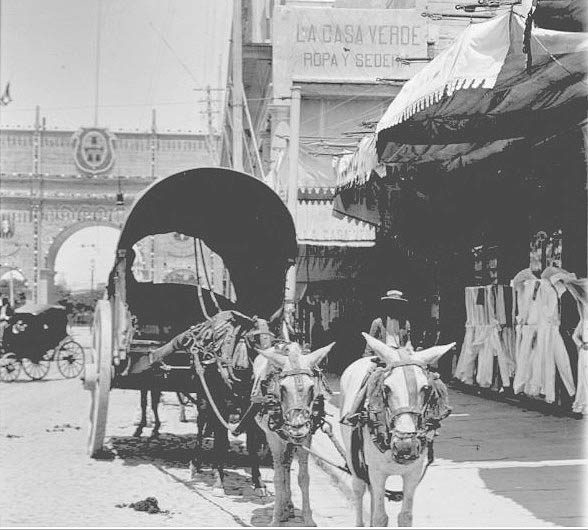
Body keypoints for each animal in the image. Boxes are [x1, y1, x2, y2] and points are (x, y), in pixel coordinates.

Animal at [254, 338, 334, 524]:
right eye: (282, 388)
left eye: (311, 388)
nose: (297, 427)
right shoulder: (274, 438)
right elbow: (277, 479)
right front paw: (275, 519)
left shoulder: (306, 437)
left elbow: (303, 478)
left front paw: (308, 519)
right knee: (282, 469)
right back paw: (282, 507)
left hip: (290, 441)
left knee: (287, 465)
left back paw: (288, 507)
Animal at [340, 332, 454, 524]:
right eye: (386, 388)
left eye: (426, 388)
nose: (405, 446)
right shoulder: (377, 472)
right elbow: (380, 518)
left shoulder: (413, 473)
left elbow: (405, 516)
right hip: (353, 457)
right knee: (359, 489)